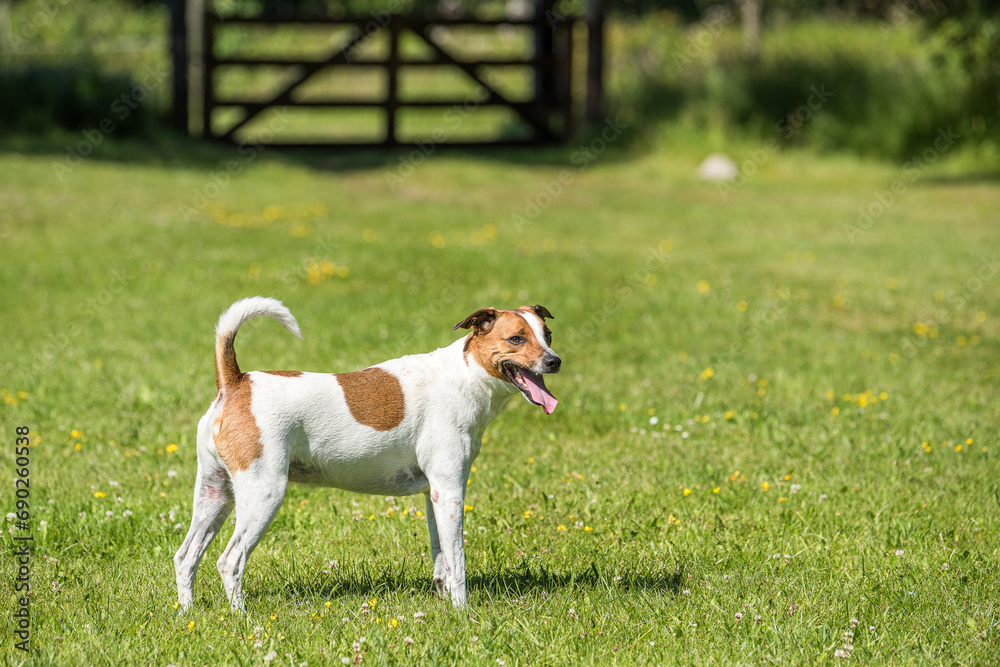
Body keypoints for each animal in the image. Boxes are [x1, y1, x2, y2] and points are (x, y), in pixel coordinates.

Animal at [175, 298, 560, 612]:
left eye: (548, 335)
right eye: (516, 339)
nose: (555, 361)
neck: (465, 375)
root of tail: (236, 381)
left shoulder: (433, 494)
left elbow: (441, 560)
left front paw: (445, 603)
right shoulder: (450, 491)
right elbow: (458, 562)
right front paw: (462, 611)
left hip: (214, 494)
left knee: (186, 556)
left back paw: (187, 613)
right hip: (263, 494)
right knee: (230, 561)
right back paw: (242, 618)